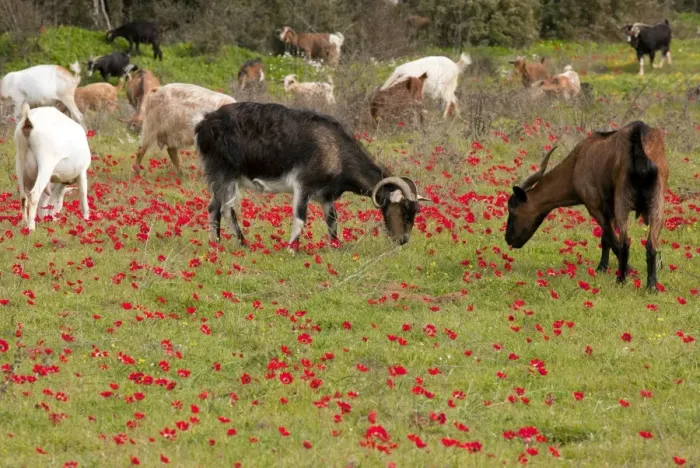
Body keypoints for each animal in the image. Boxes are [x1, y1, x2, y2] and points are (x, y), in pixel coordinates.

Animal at [195, 102, 430, 249]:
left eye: (416, 210)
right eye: (404, 209)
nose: (403, 240)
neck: (335, 150)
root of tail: (203, 124)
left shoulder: (326, 196)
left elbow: (332, 220)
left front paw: (335, 247)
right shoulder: (303, 185)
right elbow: (300, 219)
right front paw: (292, 249)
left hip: (219, 176)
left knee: (213, 207)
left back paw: (216, 244)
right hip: (225, 173)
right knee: (227, 209)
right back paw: (243, 244)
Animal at [505, 121, 668, 291]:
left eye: (513, 210)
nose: (508, 239)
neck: (577, 162)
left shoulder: (595, 207)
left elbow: (612, 241)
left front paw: (621, 270)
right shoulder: (609, 210)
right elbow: (606, 239)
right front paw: (604, 267)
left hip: (623, 202)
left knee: (624, 244)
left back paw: (621, 280)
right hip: (657, 204)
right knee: (651, 245)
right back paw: (652, 285)